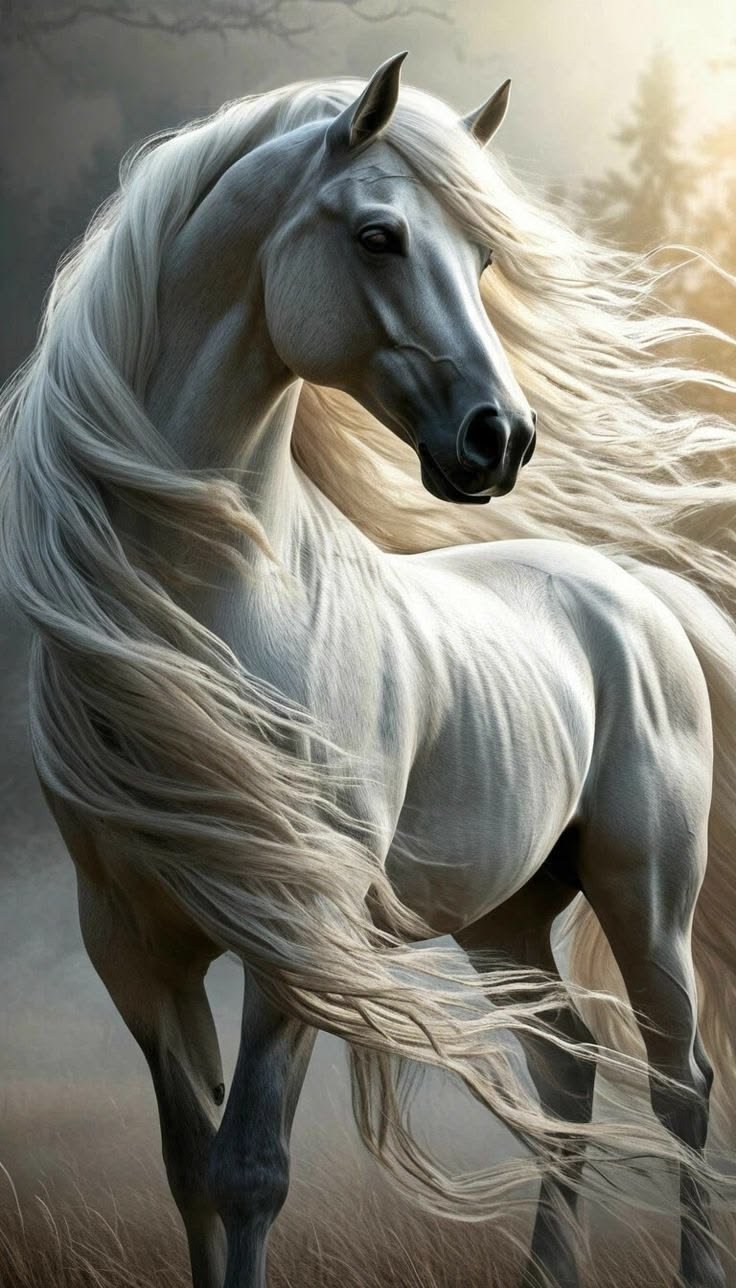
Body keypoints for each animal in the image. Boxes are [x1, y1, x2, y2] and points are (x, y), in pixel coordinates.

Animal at [2, 50, 736, 1288]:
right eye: (380, 236)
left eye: (483, 259)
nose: (501, 439)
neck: (212, 606)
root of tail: (641, 598)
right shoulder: (135, 950)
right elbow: (189, 1170)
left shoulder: (296, 931)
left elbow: (250, 1170)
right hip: (504, 916)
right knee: (566, 1071)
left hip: (645, 898)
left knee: (681, 1086)